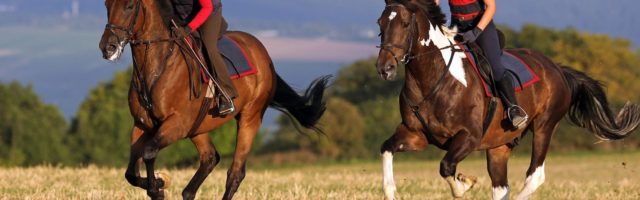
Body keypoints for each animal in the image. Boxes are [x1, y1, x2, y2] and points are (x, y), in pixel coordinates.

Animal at [99, 0, 330, 199]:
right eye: (106, 4)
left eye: (130, 6)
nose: (107, 47)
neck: (157, 66)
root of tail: (263, 53)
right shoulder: (142, 125)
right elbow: (131, 173)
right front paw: (158, 185)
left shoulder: (177, 124)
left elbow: (148, 152)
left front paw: (158, 186)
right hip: (199, 126)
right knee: (210, 158)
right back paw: (188, 192)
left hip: (250, 118)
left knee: (235, 173)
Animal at [376, 0, 640, 199]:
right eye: (380, 23)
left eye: (405, 24)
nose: (384, 68)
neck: (431, 78)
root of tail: (557, 68)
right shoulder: (416, 134)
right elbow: (386, 148)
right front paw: (391, 191)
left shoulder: (469, 137)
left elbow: (447, 167)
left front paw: (466, 183)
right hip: (498, 145)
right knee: (501, 187)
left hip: (544, 126)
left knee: (535, 176)